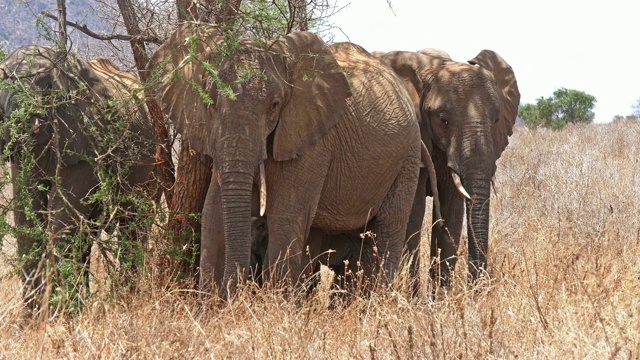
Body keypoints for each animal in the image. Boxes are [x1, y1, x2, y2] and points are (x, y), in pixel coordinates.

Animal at [152, 24, 428, 296]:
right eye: (210, 102)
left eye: (275, 105)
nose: (235, 292)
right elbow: (212, 214)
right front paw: (212, 305)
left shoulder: (312, 142)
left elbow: (284, 218)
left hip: (408, 157)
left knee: (387, 229)